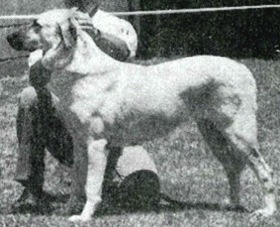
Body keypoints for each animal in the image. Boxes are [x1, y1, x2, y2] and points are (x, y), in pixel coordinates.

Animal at [7, 8, 276, 222]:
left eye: (36, 24)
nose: (8, 36)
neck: (77, 67)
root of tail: (241, 67)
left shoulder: (96, 144)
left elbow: (92, 186)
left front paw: (84, 217)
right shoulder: (80, 144)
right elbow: (77, 183)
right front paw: (69, 210)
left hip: (238, 133)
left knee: (265, 171)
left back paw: (267, 211)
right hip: (212, 132)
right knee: (233, 168)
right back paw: (233, 204)